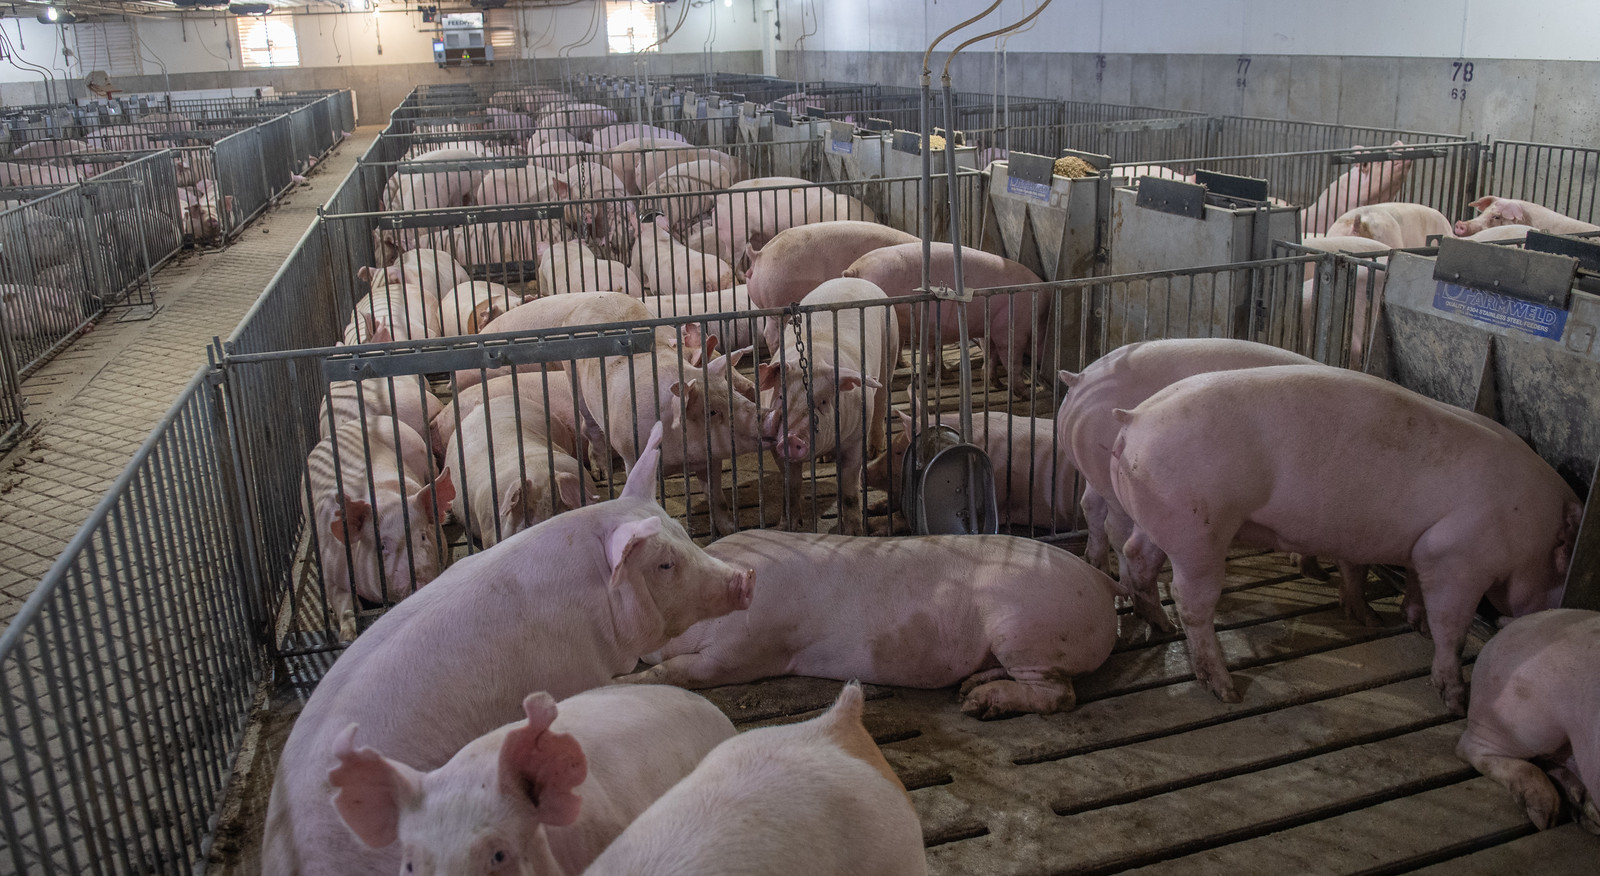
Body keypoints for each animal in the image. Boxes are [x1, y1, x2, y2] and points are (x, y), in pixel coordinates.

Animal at [307, 416, 454, 641]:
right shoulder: (330, 571)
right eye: (382, 546)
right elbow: (344, 603)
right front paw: (349, 636)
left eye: (423, 536)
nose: (419, 583)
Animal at [626, 530, 1118, 718]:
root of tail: (1101, 580)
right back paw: (970, 688)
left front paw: (631, 680)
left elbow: (686, 671)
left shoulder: (744, 651)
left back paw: (978, 703)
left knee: (1061, 694)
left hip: (1024, 628)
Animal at [759, 278, 897, 535]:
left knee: (882, 401)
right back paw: (825, 460)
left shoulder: (855, 436)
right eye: (781, 396)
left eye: (823, 401)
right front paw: (786, 527)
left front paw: (854, 532)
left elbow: (849, 489)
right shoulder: (774, 444)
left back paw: (874, 450)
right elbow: (790, 487)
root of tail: (853, 278)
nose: (792, 438)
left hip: (890, 348)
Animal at [1056, 339, 1320, 633]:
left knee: (1090, 507)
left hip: (1096, 471)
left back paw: (1101, 568)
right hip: (1113, 480)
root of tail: (1080, 379)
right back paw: (1158, 618)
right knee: (1116, 529)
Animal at [1107, 365, 1582, 710]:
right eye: (1562, 577)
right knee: (1191, 600)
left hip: (1159, 520)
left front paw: (1390, 620)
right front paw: (1454, 699)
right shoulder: (1456, 556)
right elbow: (1454, 628)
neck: (1533, 533)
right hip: (1197, 531)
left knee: (1137, 556)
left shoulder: (1419, 547)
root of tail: (1135, 419)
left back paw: (1160, 625)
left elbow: (1394, 578)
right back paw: (1226, 690)